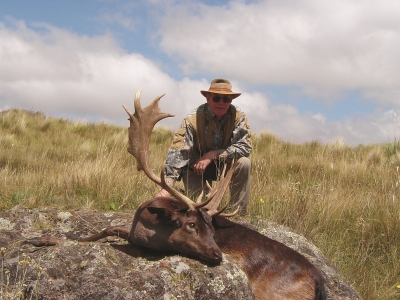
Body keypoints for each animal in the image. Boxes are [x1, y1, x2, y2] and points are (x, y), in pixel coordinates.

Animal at [29, 91, 326, 300]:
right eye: (192, 224)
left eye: (212, 228)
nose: (218, 254)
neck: (145, 226)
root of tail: (318, 279)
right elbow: (102, 231)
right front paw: (39, 238)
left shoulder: (145, 249)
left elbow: (103, 243)